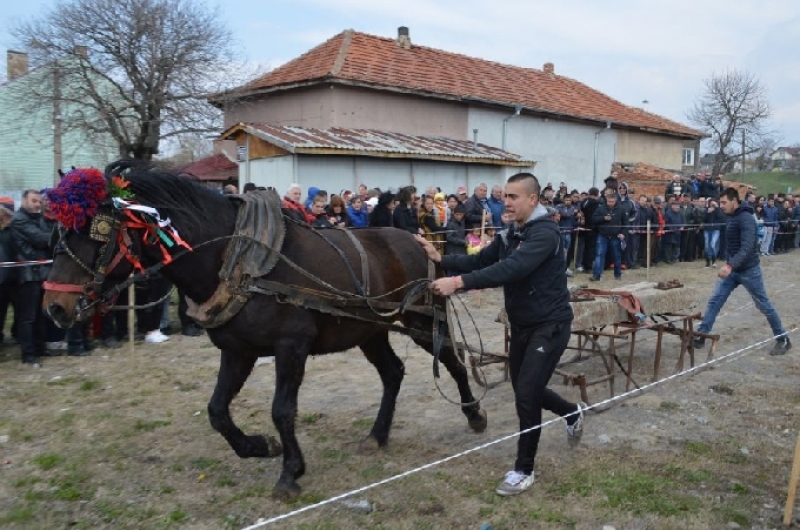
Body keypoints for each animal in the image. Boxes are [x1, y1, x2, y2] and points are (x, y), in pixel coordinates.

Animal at [43, 163, 488, 498]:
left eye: (98, 233)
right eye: (60, 232)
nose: (54, 306)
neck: (236, 260)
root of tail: (418, 240)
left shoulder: (291, 347)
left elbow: (282, 410)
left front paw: (290, 472)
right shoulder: (237, 350)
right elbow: (217, 411)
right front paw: (259, 447)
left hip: (422, 321)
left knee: (452, 360)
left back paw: (474, 414)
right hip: (369, 330)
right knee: (393, 372)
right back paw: (378, 435)